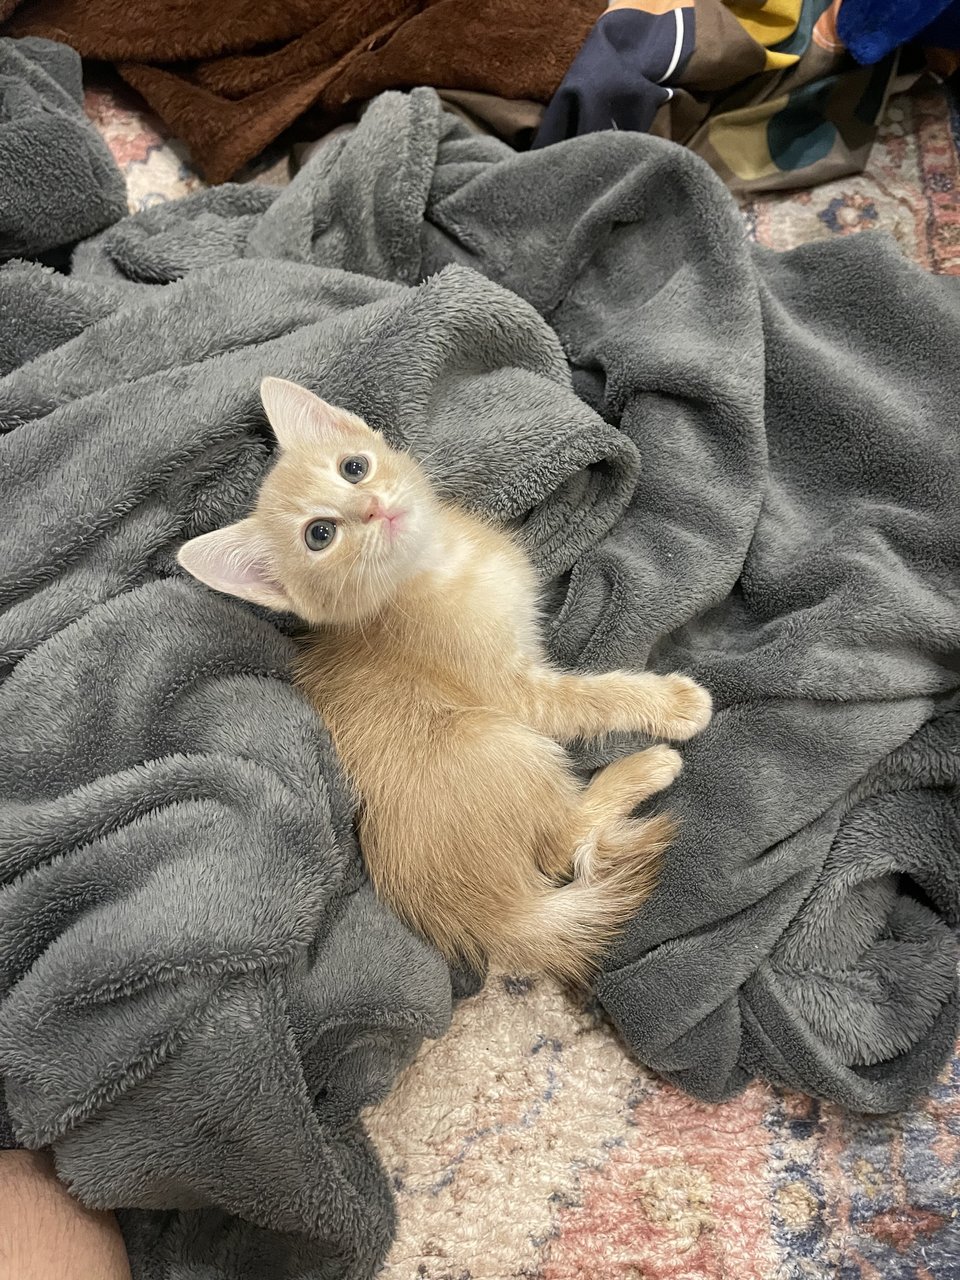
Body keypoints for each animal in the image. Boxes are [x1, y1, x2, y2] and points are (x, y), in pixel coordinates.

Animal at [179, 376, 716, 977]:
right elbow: (592, 698)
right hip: (498, 739)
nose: (372, 507)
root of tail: (493, 918)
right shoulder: (518, 695)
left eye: (354, 468)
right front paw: (672, 703)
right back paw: (647, 766)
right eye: (319, 534)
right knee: (563, 842)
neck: (443, 564)